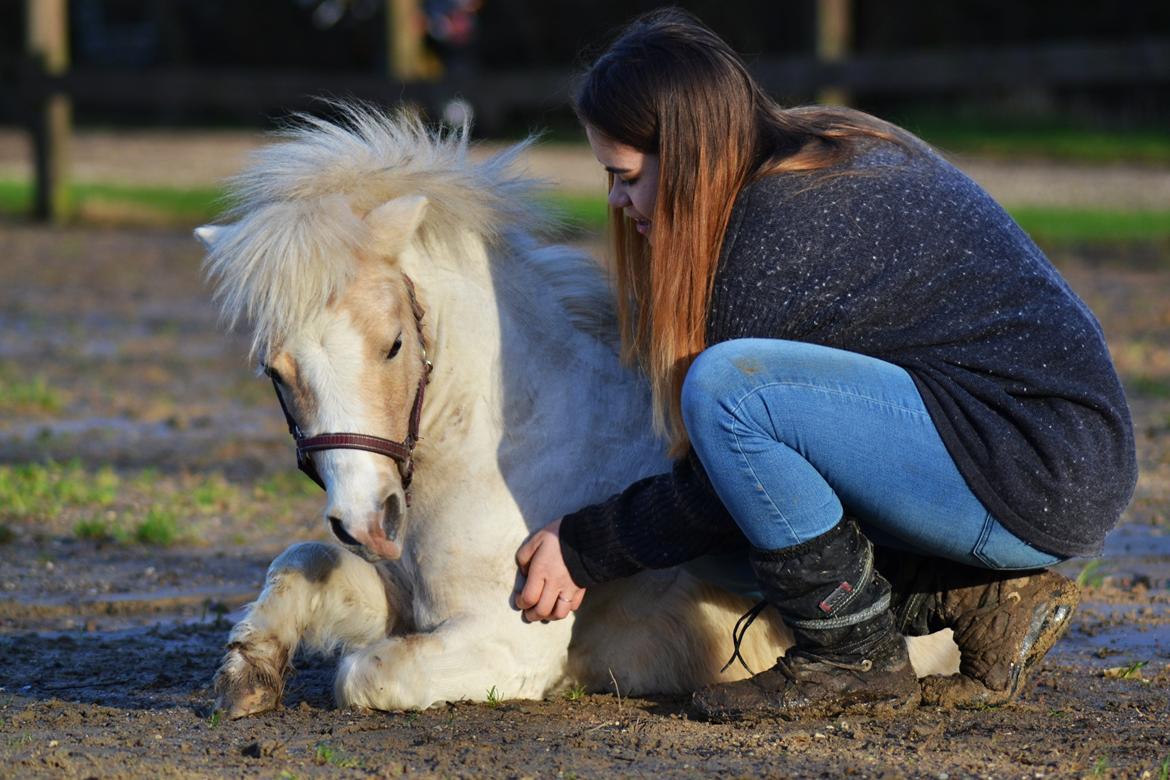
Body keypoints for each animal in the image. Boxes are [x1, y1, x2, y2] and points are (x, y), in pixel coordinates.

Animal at [196, 106, 957, 717]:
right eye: (274, 371)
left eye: (393, 345)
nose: (368, 524)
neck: (502, 446)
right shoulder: (398, 591)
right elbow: (300, 566)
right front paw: (247, 678)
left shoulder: (500, 643)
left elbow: (363, 674)